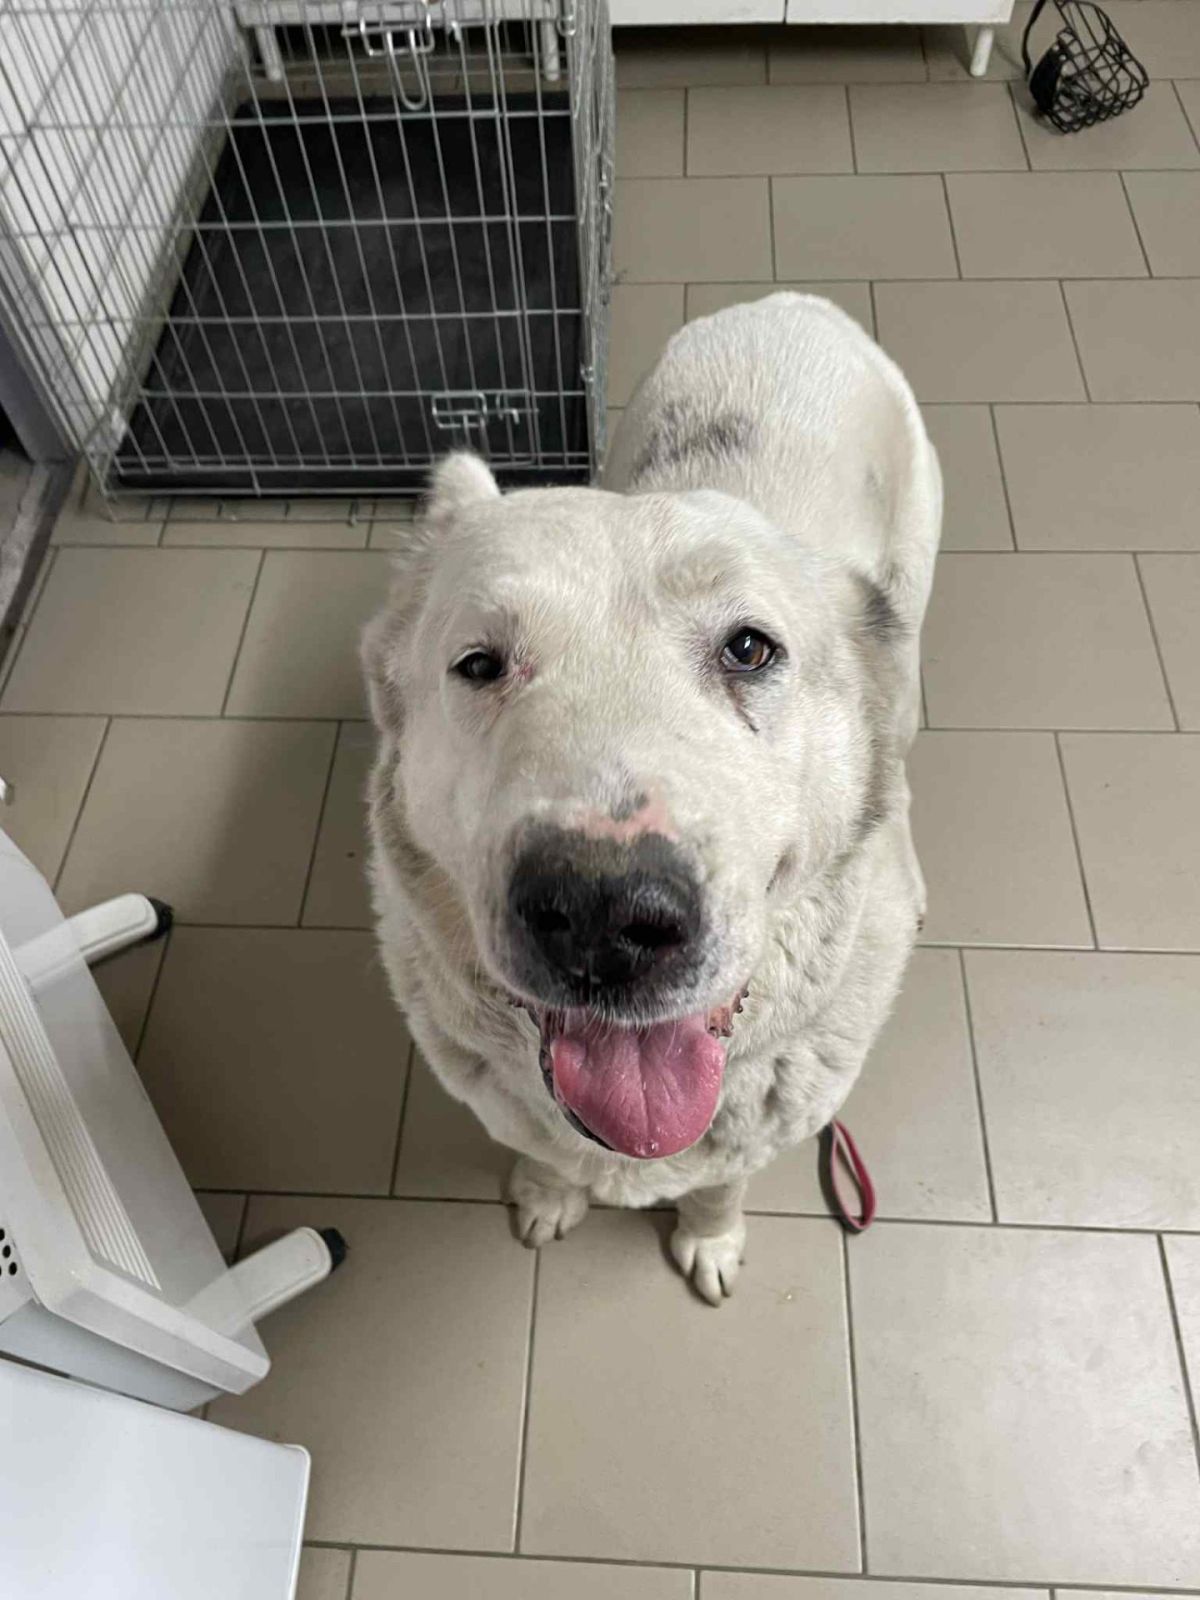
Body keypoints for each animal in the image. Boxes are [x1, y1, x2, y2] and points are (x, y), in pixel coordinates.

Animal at [361, 292, 941, 1304]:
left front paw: (709, 1238)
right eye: (479, 664)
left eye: (749, 649)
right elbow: (542, 1153)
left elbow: (723, 1178)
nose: (602, 915)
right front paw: (549, 1196)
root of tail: (796, 304)